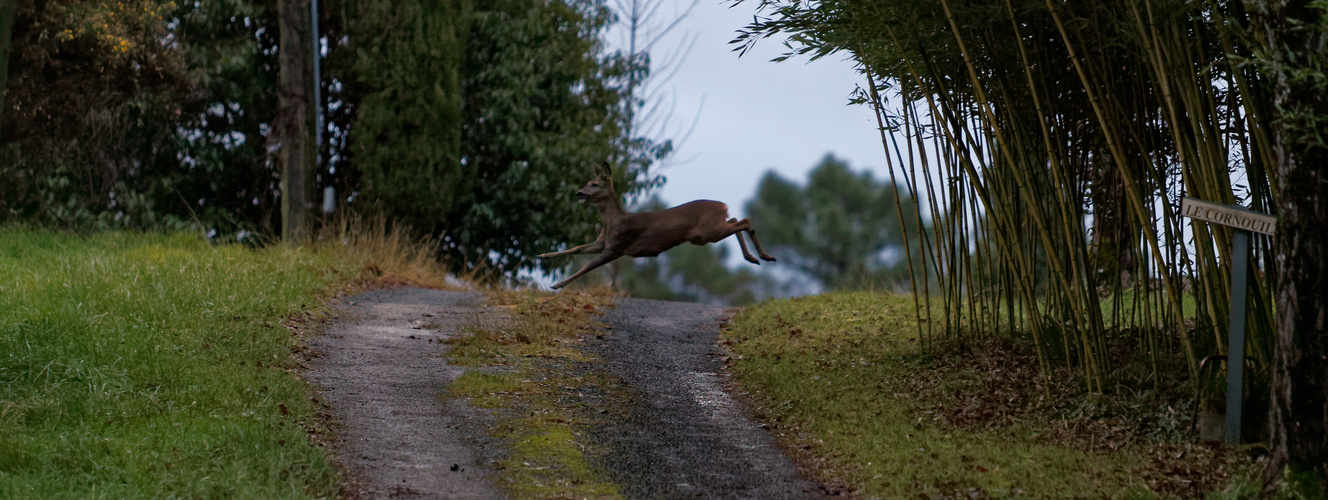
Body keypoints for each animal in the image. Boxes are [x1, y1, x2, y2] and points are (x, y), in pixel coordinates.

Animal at [536, 161, 775, 287]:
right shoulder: (603, 242)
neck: (613, 221)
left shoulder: (617, 246)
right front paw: (543, 255)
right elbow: (576, 248)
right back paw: (754, 257)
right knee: (735, 220)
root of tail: (722, 205)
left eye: (594, 184)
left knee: (744, 221)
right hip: (708, 232)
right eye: (587, 182)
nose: (579, 193)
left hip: (706, 233)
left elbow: (588, 266)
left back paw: (763, 256)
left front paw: (558, 285)